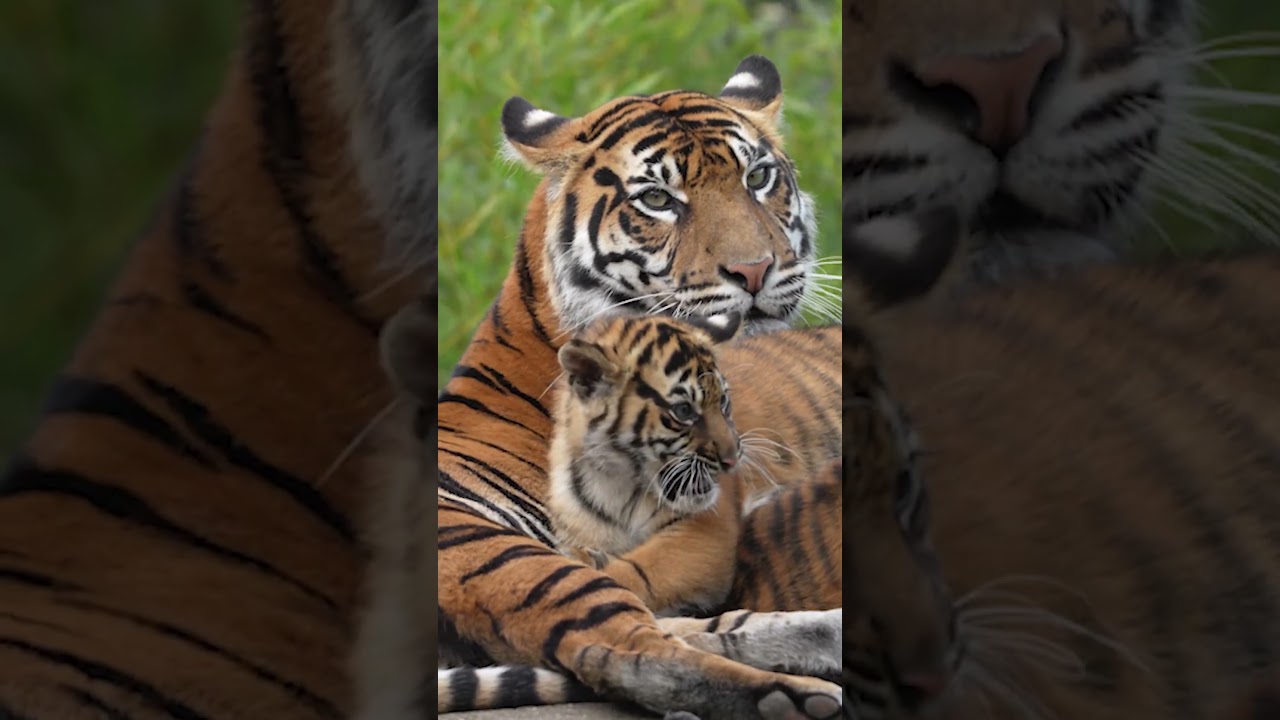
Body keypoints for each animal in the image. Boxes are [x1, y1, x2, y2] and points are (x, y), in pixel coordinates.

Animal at [546, 310, 841, 617]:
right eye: (684, 410)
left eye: (723, 401)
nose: (733, 458)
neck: (618, 483)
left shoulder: (707, 533)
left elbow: (632, 573)